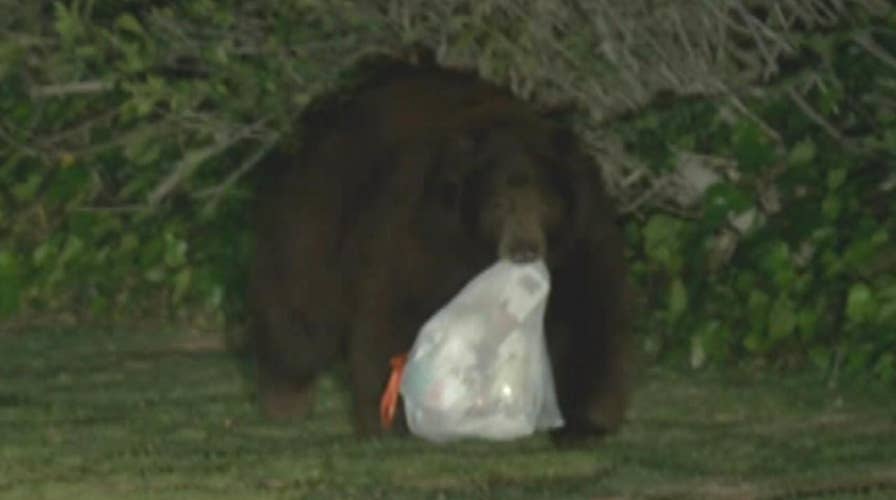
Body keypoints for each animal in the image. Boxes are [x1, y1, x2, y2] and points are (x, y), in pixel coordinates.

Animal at [247, 56, 634, 441]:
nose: (524, 250)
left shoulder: (581, 237)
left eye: (544, 203)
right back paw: (286, 399)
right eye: (498, 205)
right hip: (318, 220)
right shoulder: (422, 238)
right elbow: (394, 314)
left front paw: (586, 419)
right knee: (300, 316)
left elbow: (589, 314)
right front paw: (394, 416)